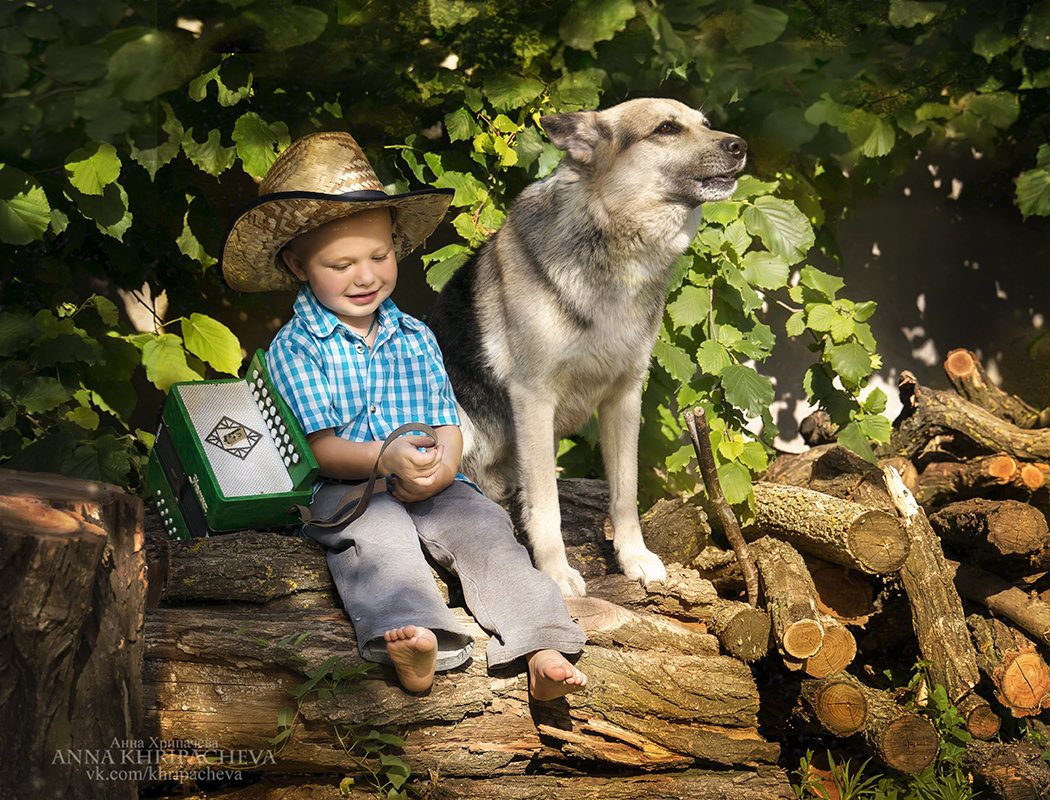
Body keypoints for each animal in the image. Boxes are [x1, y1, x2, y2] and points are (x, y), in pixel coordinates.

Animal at [426, 95, 747, 592]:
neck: (618, 242)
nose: (741, 146)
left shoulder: (625, 398)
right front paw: (555, 573)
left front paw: (634, 557)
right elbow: (547, 505)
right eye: (667, 128)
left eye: (705, 124)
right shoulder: (534, 400)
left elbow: (625, 492)